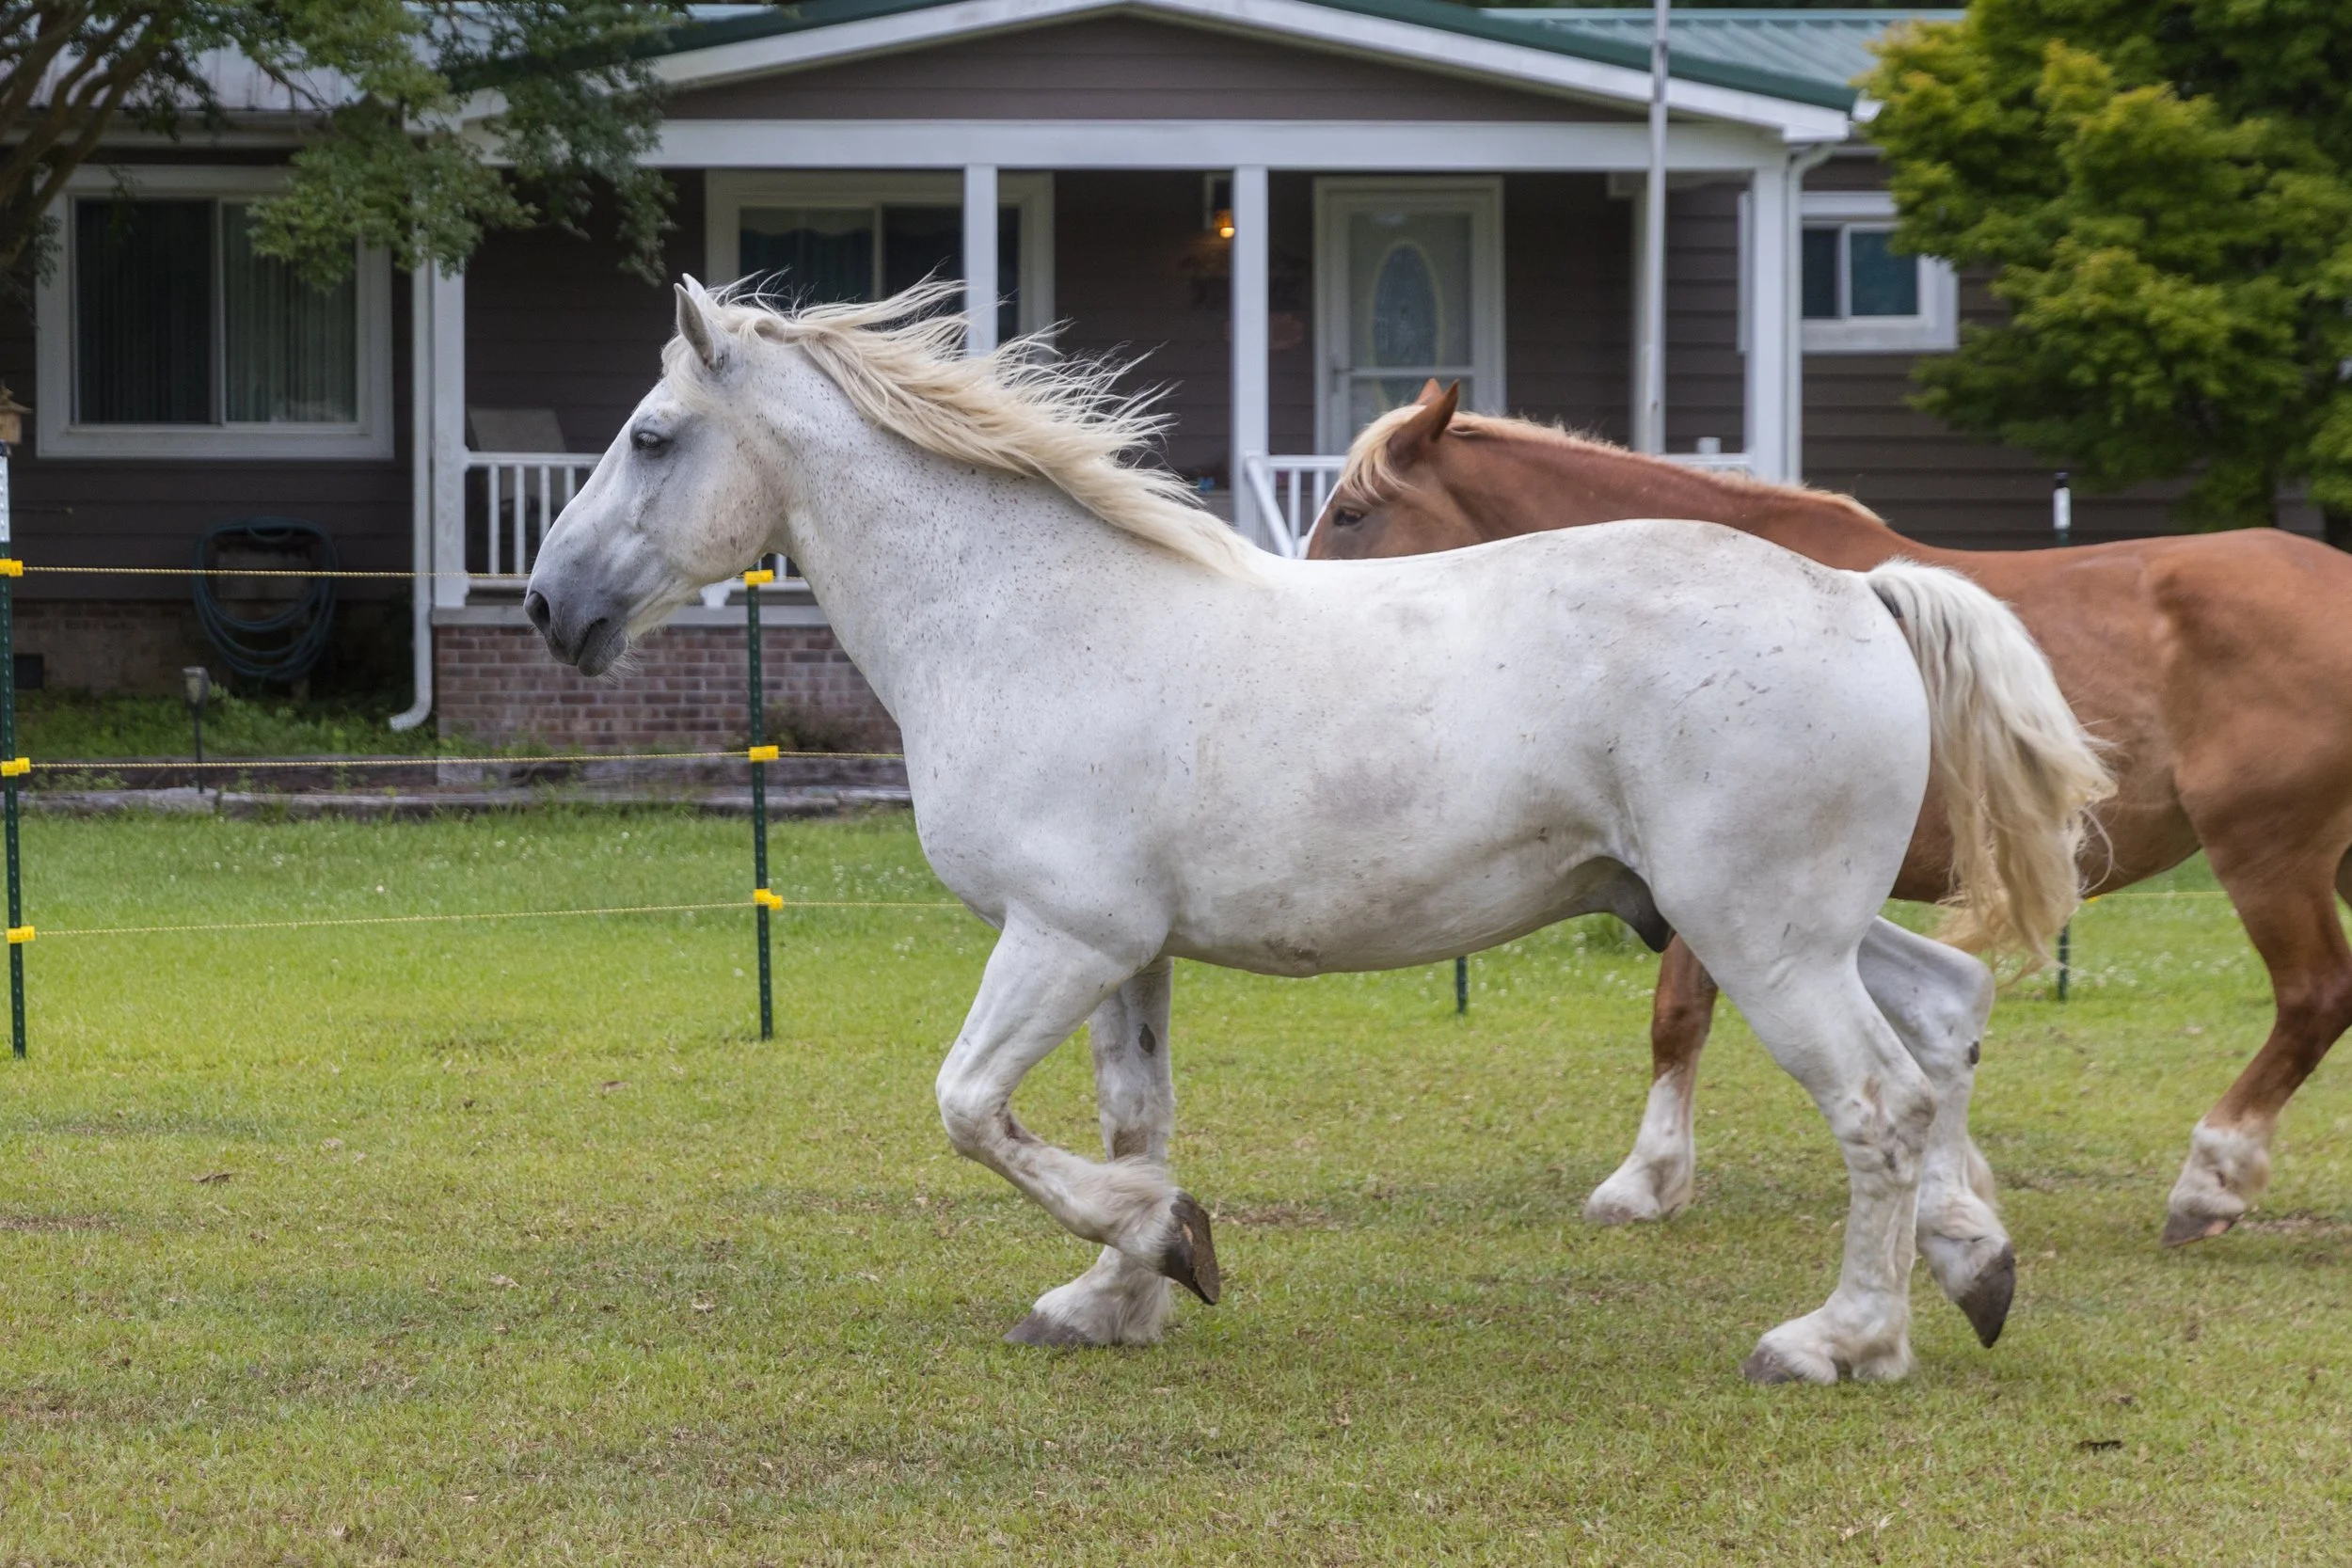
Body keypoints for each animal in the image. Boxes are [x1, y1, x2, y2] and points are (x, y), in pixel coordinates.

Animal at [524, 280, 2107, 1384]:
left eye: (651, 437)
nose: (548, 605)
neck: (1028, 621)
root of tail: (1860, 591)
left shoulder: (1060, 936)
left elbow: (972, 1108)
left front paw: (1167, 1243)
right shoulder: (1127, 952)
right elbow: (1133, 1115)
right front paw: (1118, 1294)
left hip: (1761, 937)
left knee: (1880, 1100)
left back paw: (1840, 1338)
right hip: (1786, 922)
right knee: (1948, 1011)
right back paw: (1975, 1265)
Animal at [1308, 381, 2352, 1248]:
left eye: (1352, 512)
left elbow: (1677, 1015)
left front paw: (1647, 1177)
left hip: (2268, 853)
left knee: (2314, 995)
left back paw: (2210, 1178)